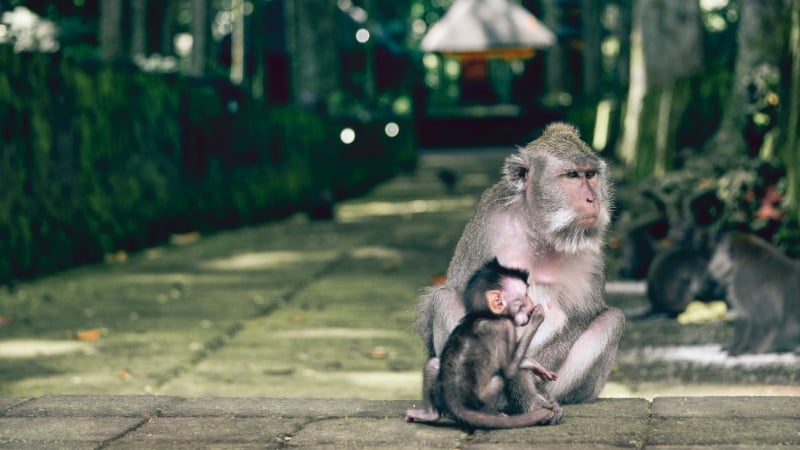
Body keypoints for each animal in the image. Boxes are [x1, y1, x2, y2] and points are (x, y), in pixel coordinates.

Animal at [406, 258, 564, 428]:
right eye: (525, 296)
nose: (532, 302)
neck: (486, 314)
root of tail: (455, 403)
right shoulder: (506, 327)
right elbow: (509, 368)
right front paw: (537, 320)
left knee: (433, 364)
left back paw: (431, 414)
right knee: (500, 378)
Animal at [418, 123, 624, 408]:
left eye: (591, 175)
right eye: (572, 175)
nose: (593, 199)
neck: (538, 230)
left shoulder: (589, 254)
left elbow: (584, 314)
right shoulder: (488, 224)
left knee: (612, 319)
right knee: (444, 298)